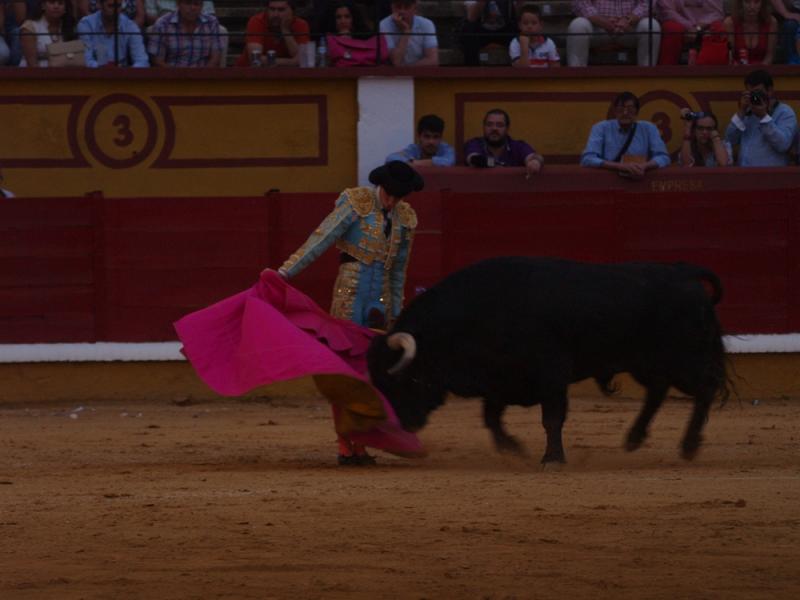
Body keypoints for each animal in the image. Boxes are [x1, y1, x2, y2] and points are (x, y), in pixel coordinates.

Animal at [368, 255, 732, 462]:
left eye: (406, 378)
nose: (405, 424)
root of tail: (685, 273)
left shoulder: (551, 372)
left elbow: (552, 417)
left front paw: (552, 457)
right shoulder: (499, 379)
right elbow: (491, 417)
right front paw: (512, 448)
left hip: (684, 357)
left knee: (705, 388)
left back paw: (689, 446)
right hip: (647, 361)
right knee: (658, 390)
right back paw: (634, 438)